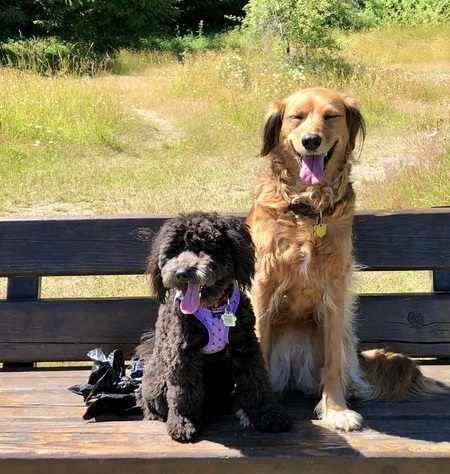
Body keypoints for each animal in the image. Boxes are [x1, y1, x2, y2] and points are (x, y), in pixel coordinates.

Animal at [137, 213, 292, 442]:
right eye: (174, 252)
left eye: (206, 247)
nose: (182, 272)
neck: (215, 308)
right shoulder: (182, 352)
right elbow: (183, 390)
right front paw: (184, 423)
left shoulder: (245, 346)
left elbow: (256, 381)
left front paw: (269, 416)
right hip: (158, 382)